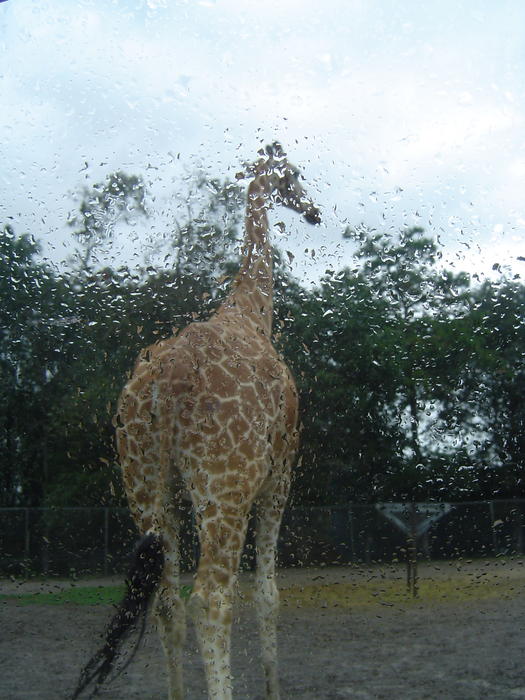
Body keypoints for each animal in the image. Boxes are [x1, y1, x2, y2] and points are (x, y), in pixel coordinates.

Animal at [69, 142, 320, 700]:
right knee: (210, 597)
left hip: (146, 485)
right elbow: (268, 595)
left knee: (165, 600)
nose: (314, 211)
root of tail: (166, 380)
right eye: (293, 176)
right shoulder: (280, 475)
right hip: (225, 488)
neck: (252, 310)